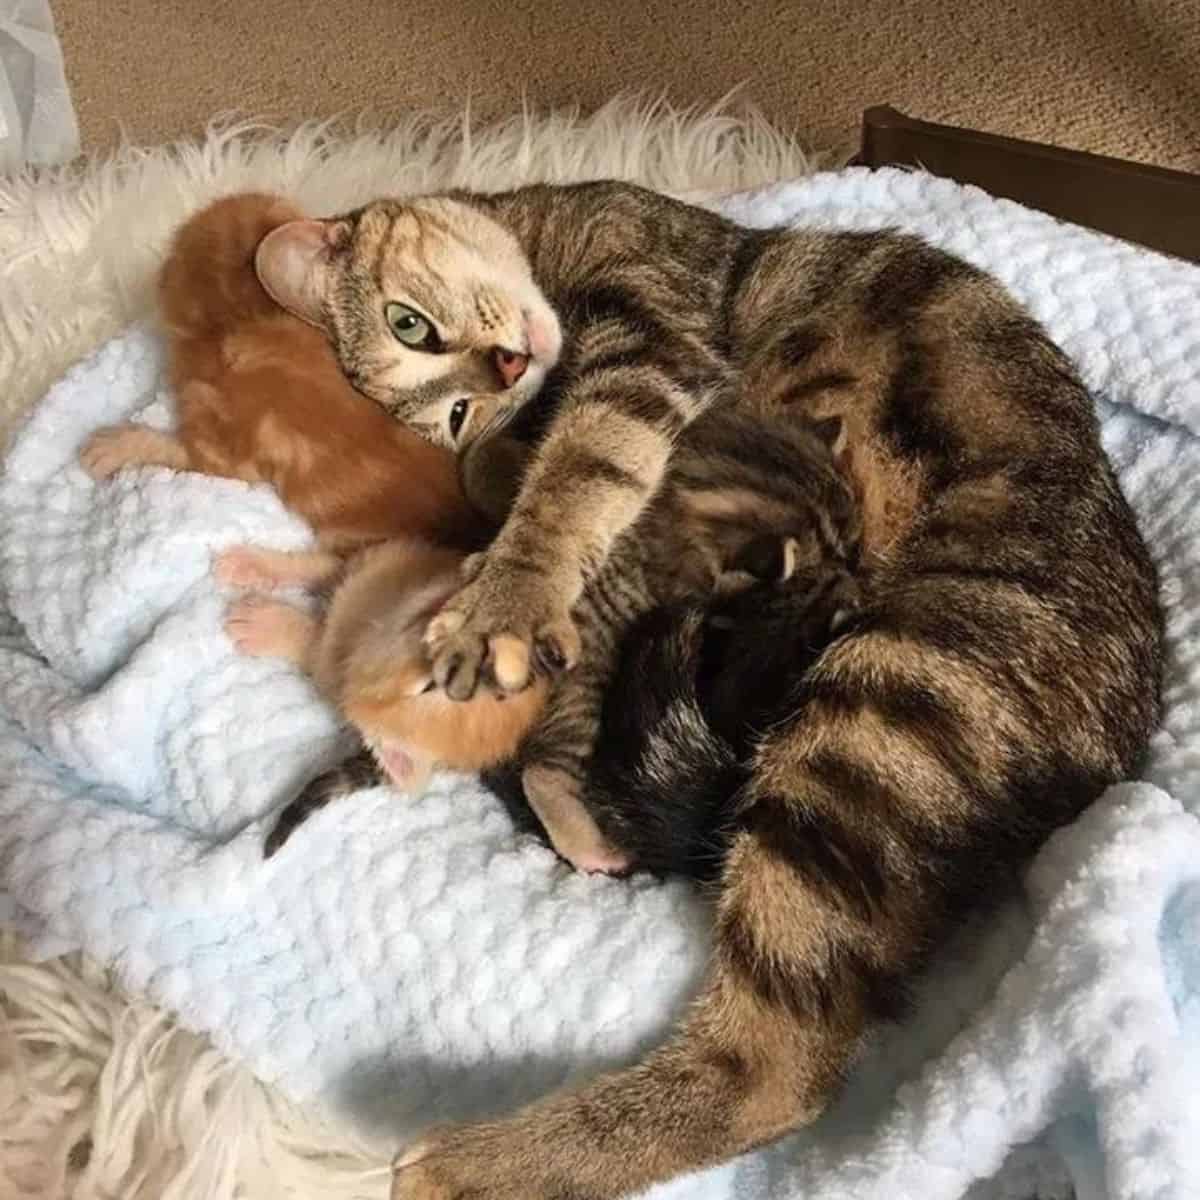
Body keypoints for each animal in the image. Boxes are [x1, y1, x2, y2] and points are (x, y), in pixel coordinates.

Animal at [255, 180, 1161, 1200]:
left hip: (889, 704)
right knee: (772, 1065)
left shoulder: (651, 339)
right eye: (448, 407)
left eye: (408, 324)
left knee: (771, 1070)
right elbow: (520, 466)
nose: (506, 367)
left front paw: (506, 593)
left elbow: (578, 470)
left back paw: (467, 1162)